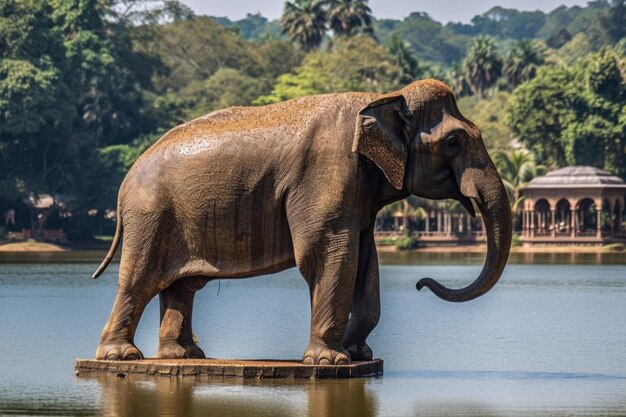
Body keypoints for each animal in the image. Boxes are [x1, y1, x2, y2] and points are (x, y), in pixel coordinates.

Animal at [94, 79, 512, 364]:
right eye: (454, 142)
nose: (421, 283)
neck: (382, 97)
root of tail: (125, 180)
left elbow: (365, 258)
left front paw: (359, 355)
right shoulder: (327, 174)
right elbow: (325, 254)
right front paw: (331, 361)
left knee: (183, 285)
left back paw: (184, 356)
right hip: (150, 215)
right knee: (140, 279)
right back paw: (121, 358)